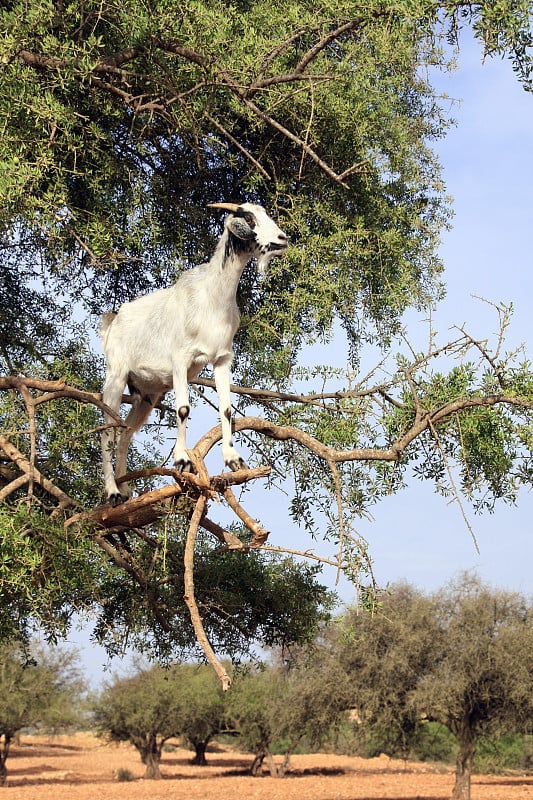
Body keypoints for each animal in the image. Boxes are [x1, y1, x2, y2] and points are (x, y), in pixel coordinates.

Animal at [101, 203, 290, 504]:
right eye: (249, 218)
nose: (282, 239)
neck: (212, 298)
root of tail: (113, 321)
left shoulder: (222, 359)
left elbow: (226, 409)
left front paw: (233, 459)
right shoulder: (181, 359)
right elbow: (183, 409)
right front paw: (181, 460)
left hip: (147, 396)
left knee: (126, 432)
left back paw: (125, 487)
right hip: (116, 376)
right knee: (108, 430)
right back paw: (111, 491)